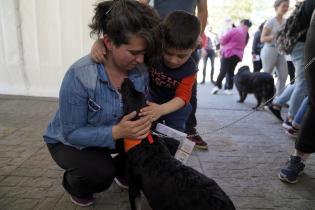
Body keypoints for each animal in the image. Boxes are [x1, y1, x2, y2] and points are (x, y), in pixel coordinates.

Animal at [122, 78, 236, 210]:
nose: (126, 79)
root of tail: (226, 203)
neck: (144, 139)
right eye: (139, 93)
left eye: (128, 95)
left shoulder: (133, 187)